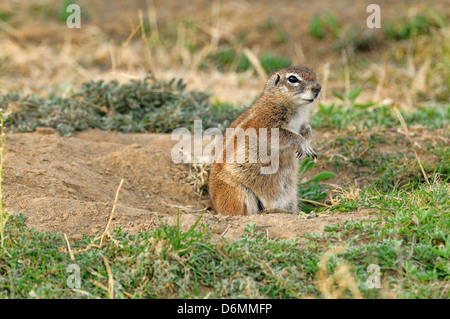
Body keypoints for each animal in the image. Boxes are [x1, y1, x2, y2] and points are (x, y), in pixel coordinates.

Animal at [209, 67, 322, 218]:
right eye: (292, 79)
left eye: (314, 75)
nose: (318, 88)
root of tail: (215, 207)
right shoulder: (266, 121)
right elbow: (282, 135)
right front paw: (302, 143)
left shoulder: (303, 122)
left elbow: (307, 129)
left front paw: (307, 143)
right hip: (237, 192)